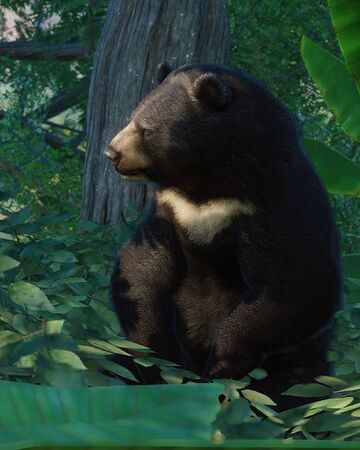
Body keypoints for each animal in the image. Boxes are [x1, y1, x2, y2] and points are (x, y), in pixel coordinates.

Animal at [104, 63, 344, 412]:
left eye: (147, 129)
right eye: (132, 117)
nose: (111, 152)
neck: (209, 178)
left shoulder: (273, 201)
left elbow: (293, 281)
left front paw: (223, 363)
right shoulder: (170, 208)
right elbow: (142, 271)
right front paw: (167, 362)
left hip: (302, 362)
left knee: (295, 386)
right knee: (112, 364)